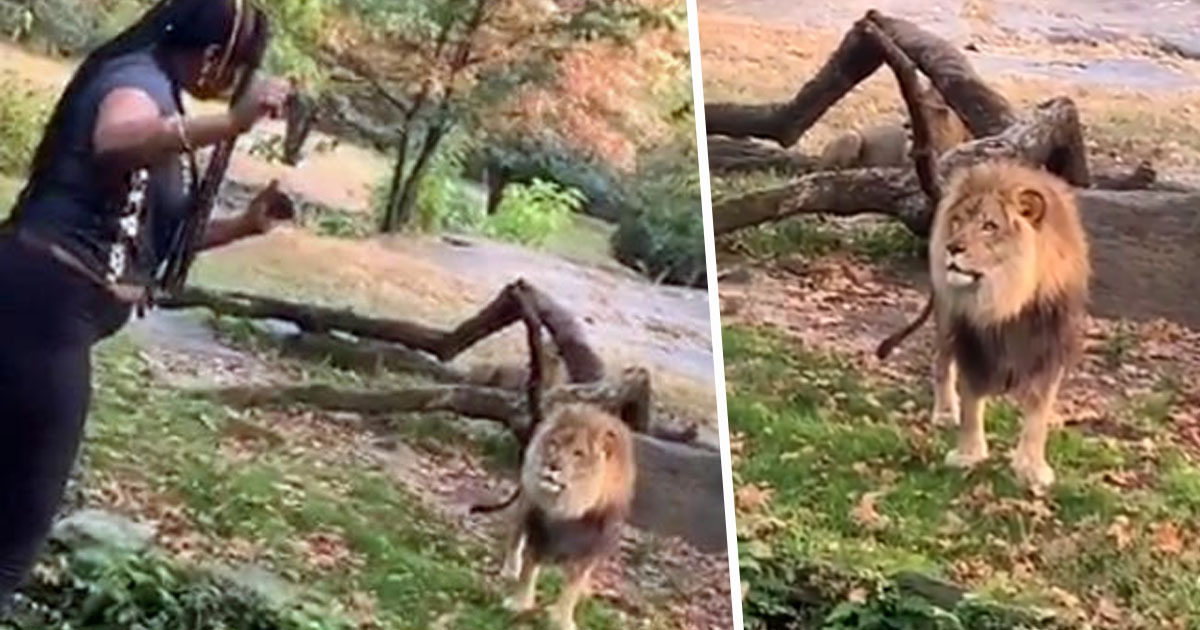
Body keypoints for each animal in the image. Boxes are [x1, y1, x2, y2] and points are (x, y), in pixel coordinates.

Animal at [499, 403, 638, 628]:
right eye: (554, 444)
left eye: (578, 453)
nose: (552, 465)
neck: (568, 507)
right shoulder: (538, 529)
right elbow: (528, 570)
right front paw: (519, 604)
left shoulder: (590, 546)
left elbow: (573, 587)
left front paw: (562, 620)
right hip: (524, 505)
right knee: (515, 537)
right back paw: (510, 570)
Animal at [883, 162, 1089, 492]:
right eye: (958, 221)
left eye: (989, 226)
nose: (952, 248)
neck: (1004, 299)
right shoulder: (972, 343)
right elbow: (971, 402)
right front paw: (968, 454)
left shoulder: (1049, 347)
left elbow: (1038, 413)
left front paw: (1031, 467)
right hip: (945, 317)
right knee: (941, 363)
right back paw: (944, 412)